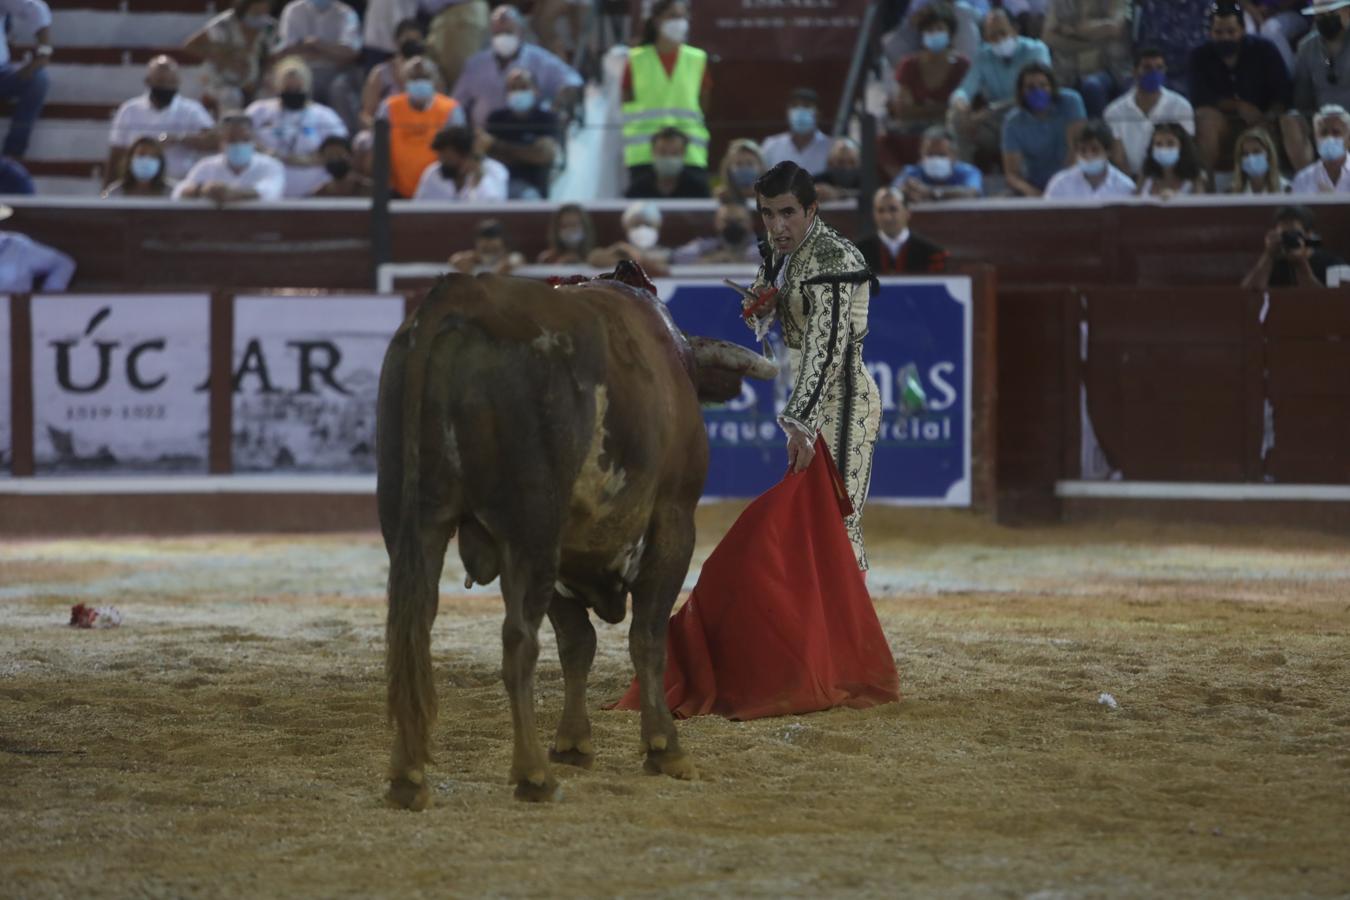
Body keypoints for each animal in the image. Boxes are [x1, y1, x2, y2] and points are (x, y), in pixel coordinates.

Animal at [380, 267, 777, 809]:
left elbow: (577, 643)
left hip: (415, 522)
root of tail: (459, 299)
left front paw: (573, 742)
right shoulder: (674, 521)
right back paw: (532, 773)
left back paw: (408, 776)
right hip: (531, 528)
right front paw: (664, 748)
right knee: (518, 641)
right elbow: (647, 637)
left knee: (411, 631)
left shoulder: (563, 556)